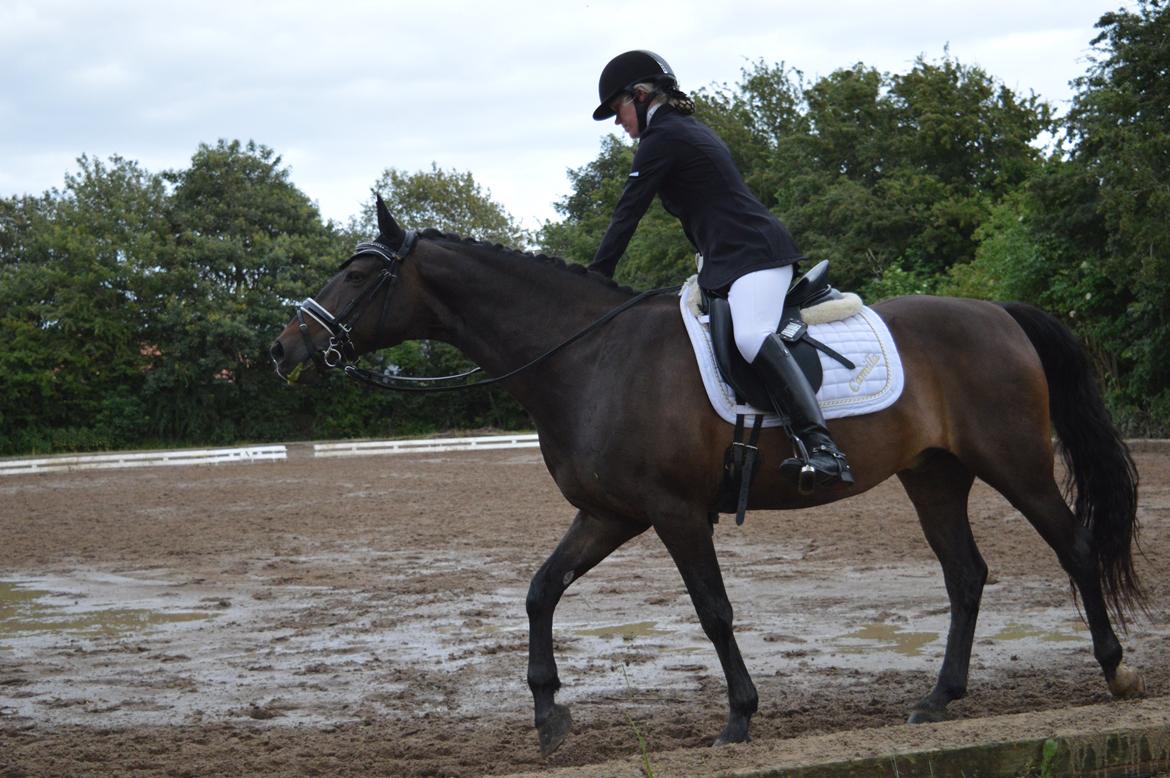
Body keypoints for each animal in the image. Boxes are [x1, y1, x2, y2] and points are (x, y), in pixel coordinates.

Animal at [269, 197, 1146, 755]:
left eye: (358, 275)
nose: (284, 348)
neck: (587, 357)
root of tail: (998, 311)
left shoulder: (675, 512)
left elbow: (713, 611)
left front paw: (739, 719)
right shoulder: (610, 513)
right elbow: (541, 591)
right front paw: (550, 715)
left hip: (1015, 463)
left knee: (1072, 547)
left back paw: (1113, 670)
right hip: (934, 476)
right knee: (966, 575)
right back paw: (938, 699)